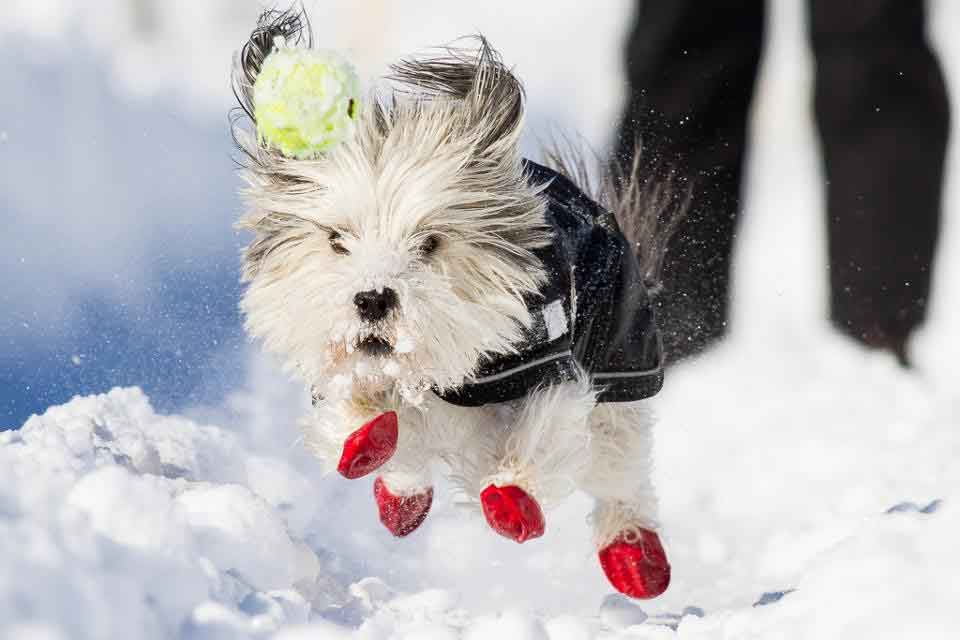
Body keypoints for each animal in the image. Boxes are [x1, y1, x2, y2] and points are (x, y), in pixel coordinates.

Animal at [232, 7, 684, 600]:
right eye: (336, 239)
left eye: (429, 242)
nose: (373, 298)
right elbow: (358, 412)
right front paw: (364, 438)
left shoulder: (551, 367)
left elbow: (544, 428)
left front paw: (513, 497)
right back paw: (400, 495)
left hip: (621, 372)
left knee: (618, 473)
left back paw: (635, 556)